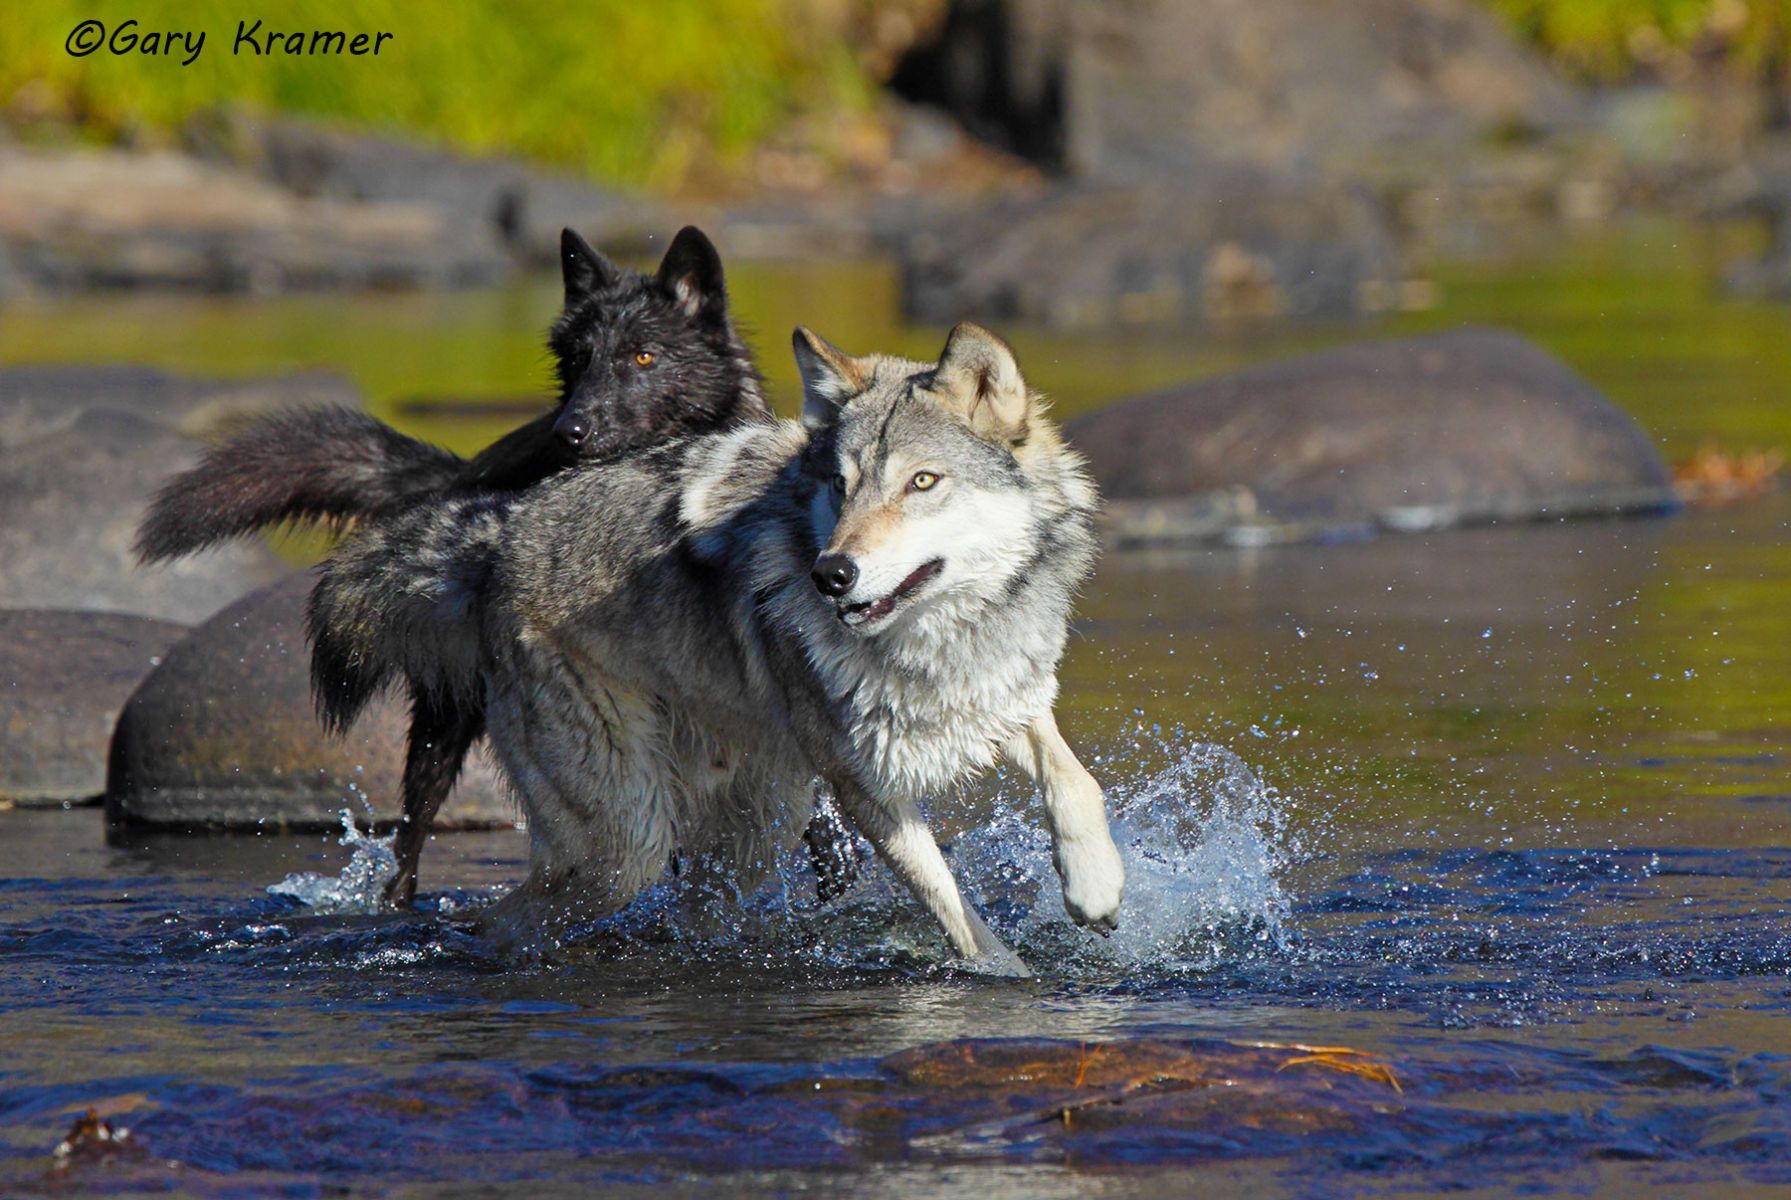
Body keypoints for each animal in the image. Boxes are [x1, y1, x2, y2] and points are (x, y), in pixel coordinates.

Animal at [134, 226, 857, 904]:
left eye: (643, 356)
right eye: (578, 361)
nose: (570, 431)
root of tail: (462, 474)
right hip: (445, 727)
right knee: (409, 843)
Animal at [313, 322, 1126, 974]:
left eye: (922, 482)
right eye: (840, 484)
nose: (830, 573)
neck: (943, 635)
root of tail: (494, 540)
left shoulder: (997, 692)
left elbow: (1073, 778)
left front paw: (1095, 887)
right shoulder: (863, 781)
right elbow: (953, 908)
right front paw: (1008, 977)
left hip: (756, 826)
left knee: (685, 912)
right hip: (628, 846)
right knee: (505, 919)